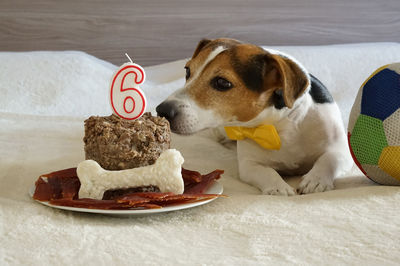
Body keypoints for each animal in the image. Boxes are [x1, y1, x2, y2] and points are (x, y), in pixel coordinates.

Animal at [156, 38, 354, 195]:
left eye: (222, 82)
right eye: (187, 71)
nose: (162, 110)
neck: (279, 126)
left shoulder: (342, 149)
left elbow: (328, 159)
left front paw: (315, 180)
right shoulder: (249, 164)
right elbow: (267, 173)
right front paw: (279, 188)